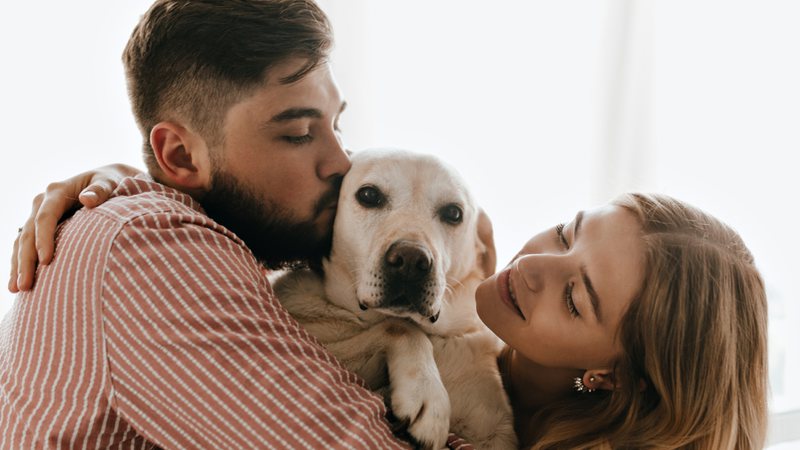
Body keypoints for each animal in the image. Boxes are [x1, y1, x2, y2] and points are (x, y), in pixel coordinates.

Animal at [272, 149, 516, 448]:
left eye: (453, 213)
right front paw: (428, 396)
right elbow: (401, 327)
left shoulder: (493, 432)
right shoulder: (323, 342)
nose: (410, 262)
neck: (436, 335)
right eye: (368, 195)